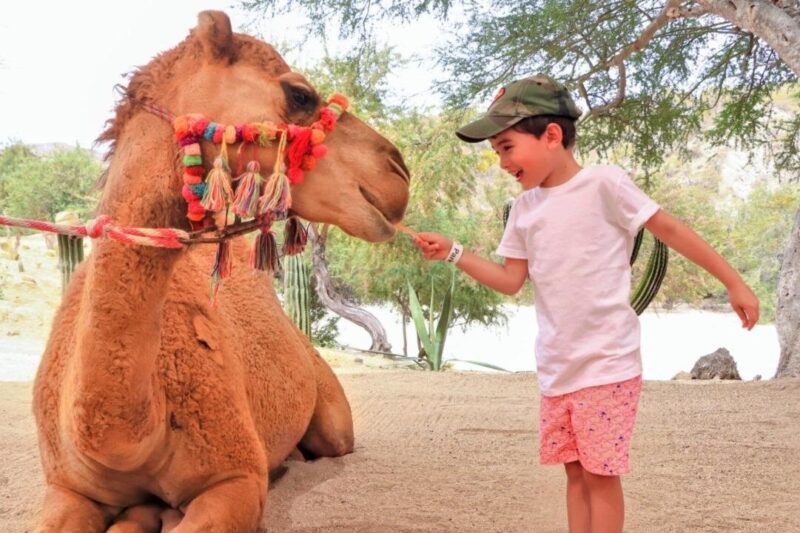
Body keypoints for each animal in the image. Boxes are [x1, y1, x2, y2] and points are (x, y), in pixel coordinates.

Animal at [31, 11, 410, 532]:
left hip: (332, 415)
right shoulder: (65, 487)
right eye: (300, 95)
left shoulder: (236, 478)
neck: (124, 438)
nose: (398, 174)